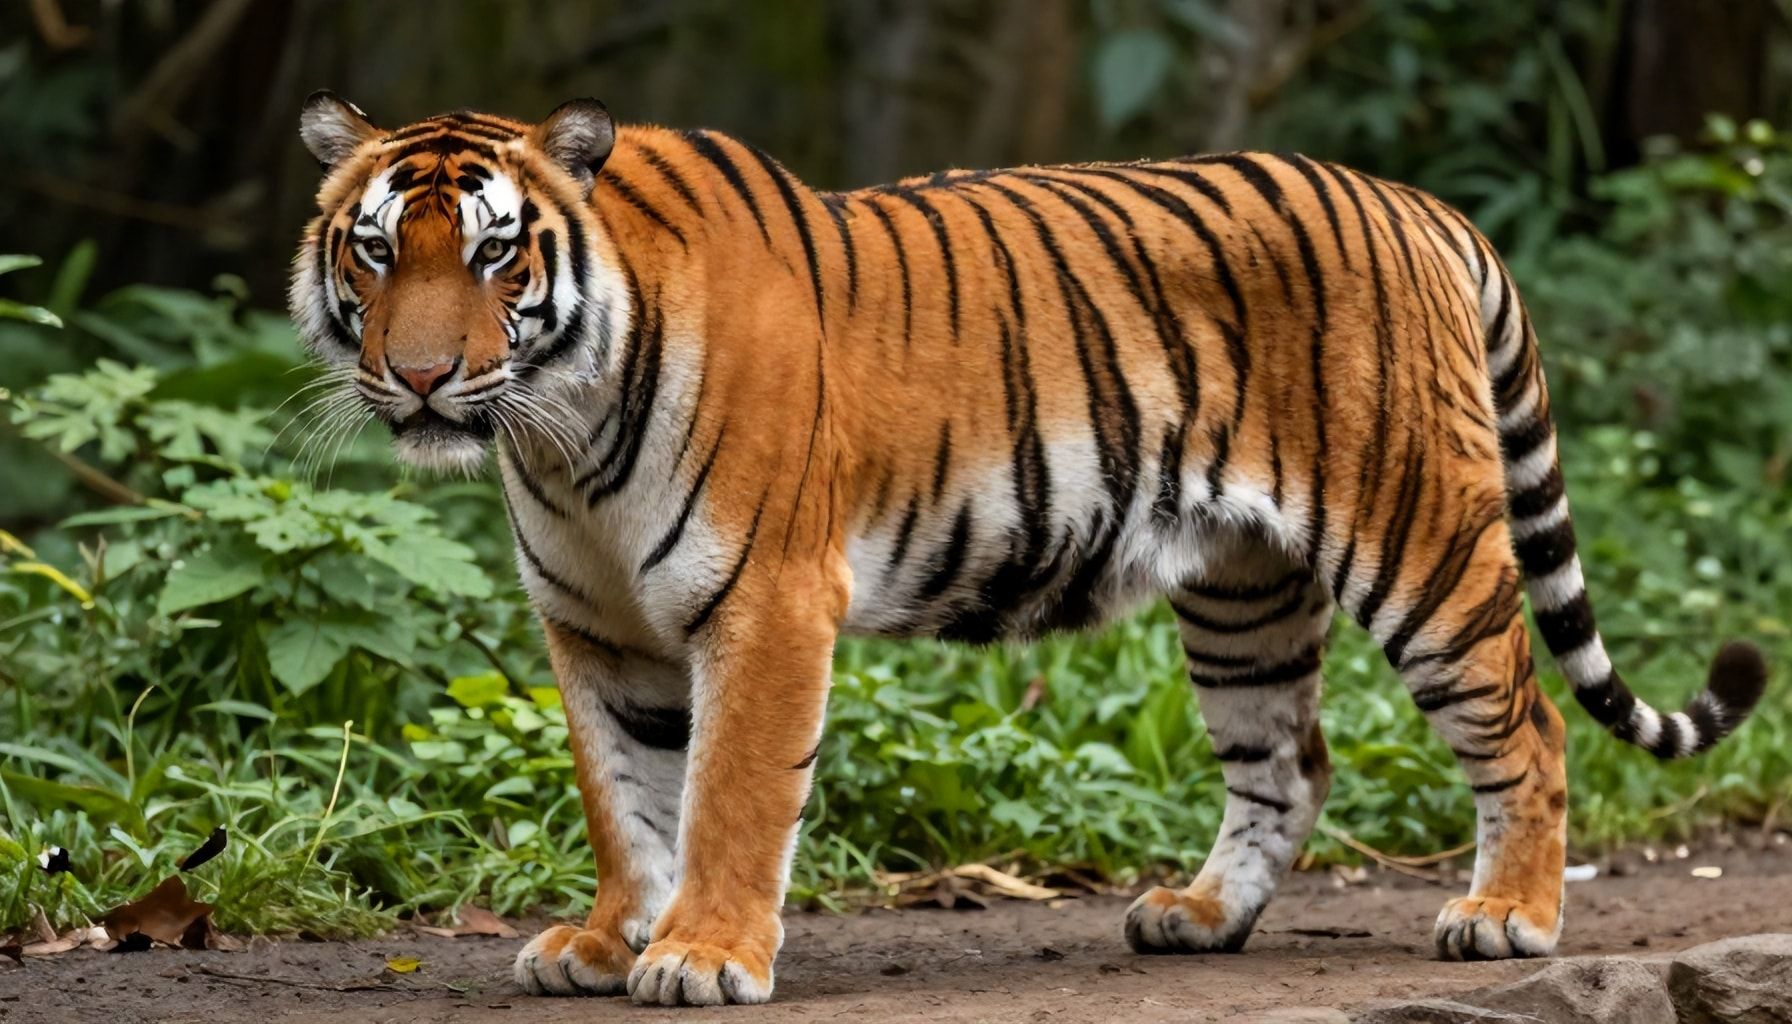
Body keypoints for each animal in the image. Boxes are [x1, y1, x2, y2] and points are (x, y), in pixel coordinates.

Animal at [290, 91, 1767, 1006]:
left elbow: (728, 798)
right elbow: (624, 797)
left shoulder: (765, 606)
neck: (562, 431)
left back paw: (1506, 917)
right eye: (375, 252)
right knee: (1288, 759)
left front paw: (705, 954)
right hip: (1242, 588)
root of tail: (1423, 207)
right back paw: (1200, 915)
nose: (420, 378)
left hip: (1421, 541)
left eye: (496, 257)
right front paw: (607, 940)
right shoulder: (595, 628)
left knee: (1529, 723)